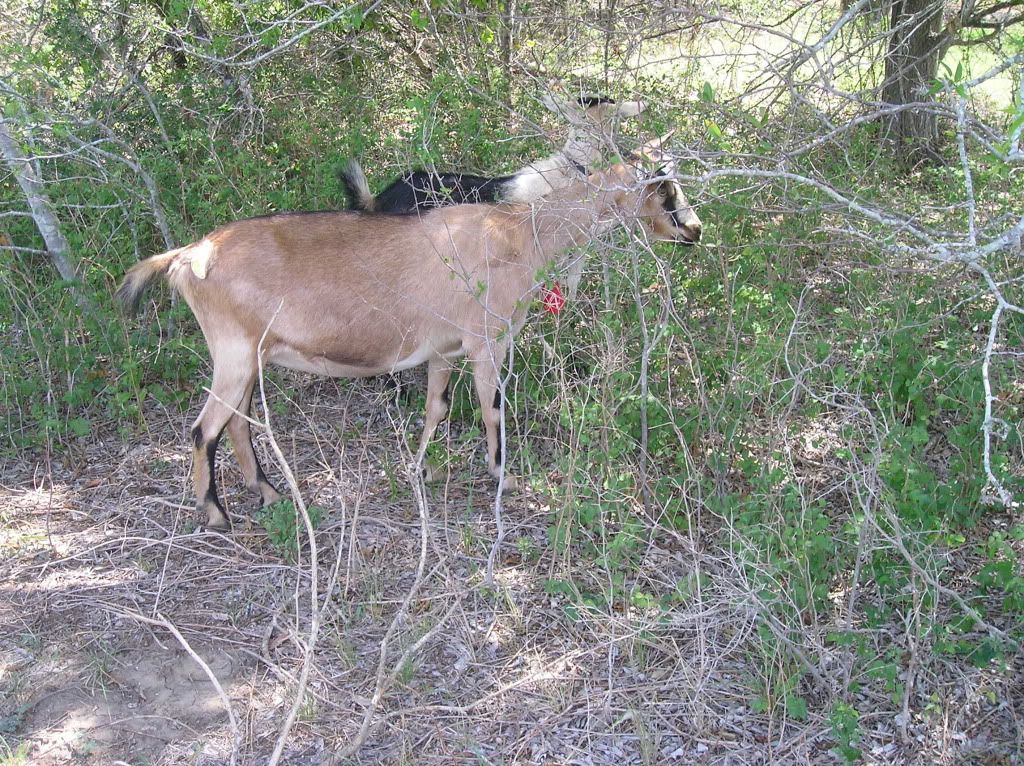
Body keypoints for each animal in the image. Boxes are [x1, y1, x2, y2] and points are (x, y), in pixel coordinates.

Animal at [117, 146, 702, 532]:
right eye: (663, 187)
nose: (694, 230)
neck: (520, 234)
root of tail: (188, 256)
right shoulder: (487, 342)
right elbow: (492, 407)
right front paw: (504, 477)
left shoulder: (444, 350)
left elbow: (436, 406)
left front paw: (419, 469)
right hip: (233, 353)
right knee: (204, 429)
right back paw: (216, 514)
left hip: (250, 357)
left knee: (237, 422)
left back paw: (268, 493)